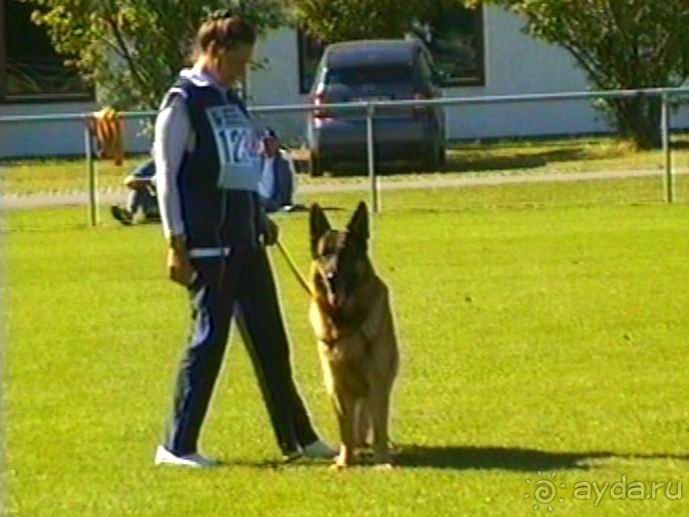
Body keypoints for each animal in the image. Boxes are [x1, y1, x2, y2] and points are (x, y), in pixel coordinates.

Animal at [308, 202, 398, 468]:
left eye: (346, 254)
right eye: (325, 254)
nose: (331, 278)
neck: (345, 322)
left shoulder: (377, 383)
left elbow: (379, 427)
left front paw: (382, 461)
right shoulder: (336, 386)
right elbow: (345, 429)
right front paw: (344, 462)